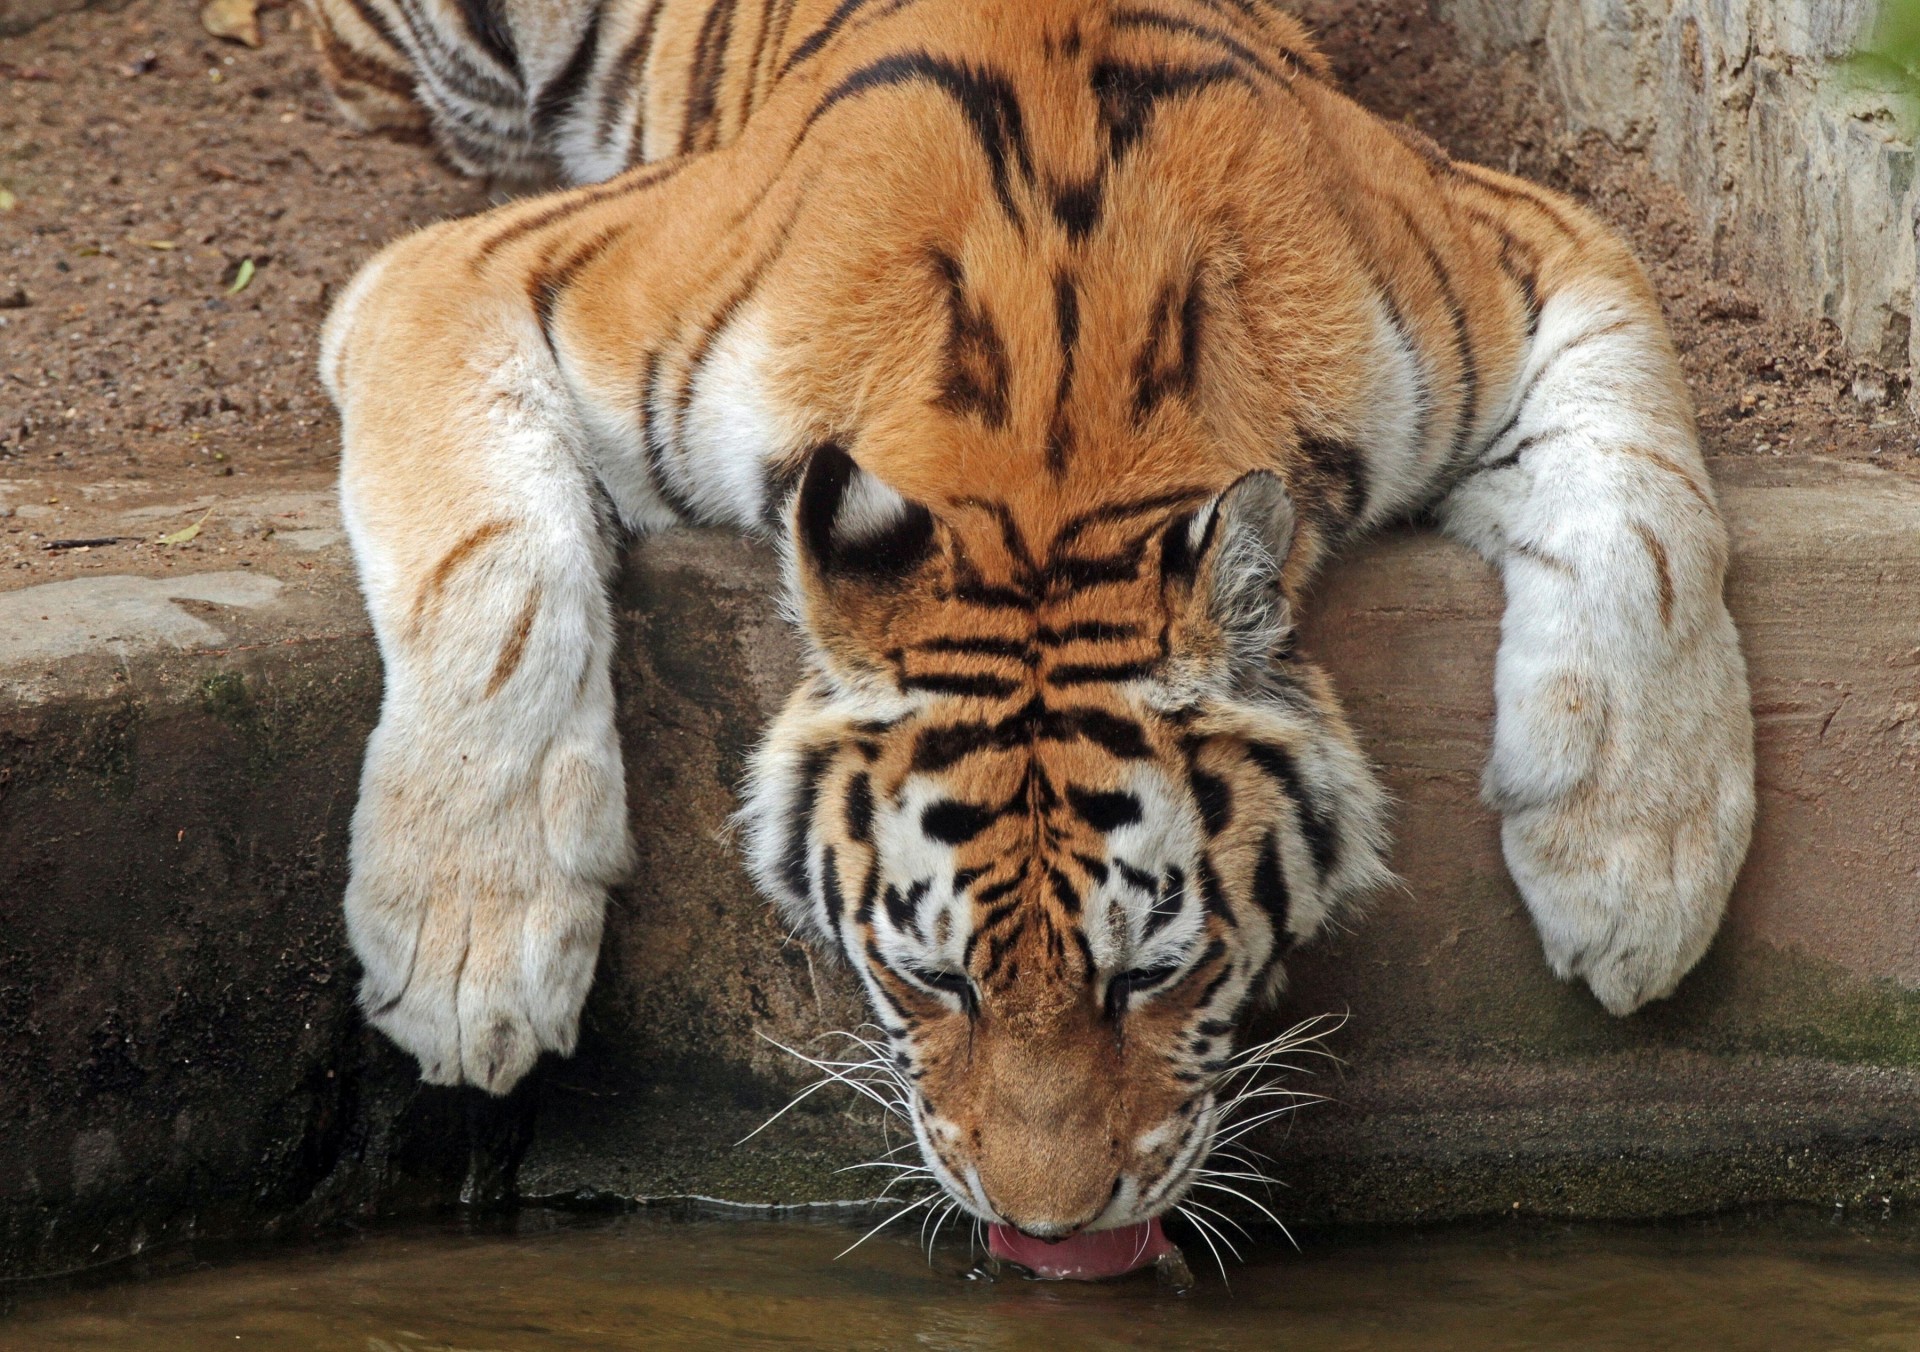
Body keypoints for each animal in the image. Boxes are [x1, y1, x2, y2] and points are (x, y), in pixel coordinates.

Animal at [309, 0, 1756, 1248]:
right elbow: (491, 579)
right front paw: (470, 957)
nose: (1047, 1225)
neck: (1053, 467)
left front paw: (1638, 874)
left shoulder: (1540, 252)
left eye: (1153, 973)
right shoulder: (479, 272)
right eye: (931, 978)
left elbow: (1655, 523)